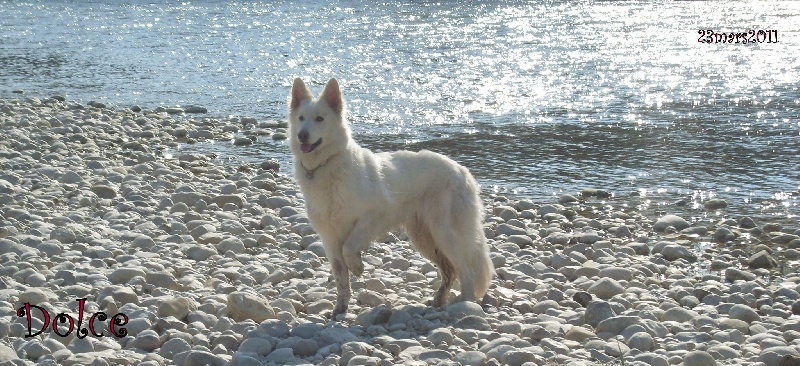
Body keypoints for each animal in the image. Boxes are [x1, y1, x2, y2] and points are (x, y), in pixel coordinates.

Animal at [284, 78, 490, 318]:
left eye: (320, 118)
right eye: (301, 118)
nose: (302, 135)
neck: (327, 165)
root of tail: (462, 170)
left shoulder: (374, 214)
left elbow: (350, 248)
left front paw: (357, 266)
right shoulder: (329, 239)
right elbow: (341, 277)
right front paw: (340, 308)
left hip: (444, 233)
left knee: (466, 270)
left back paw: (465, 304)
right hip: (426, 239)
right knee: (450, 271)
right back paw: (439, 301)